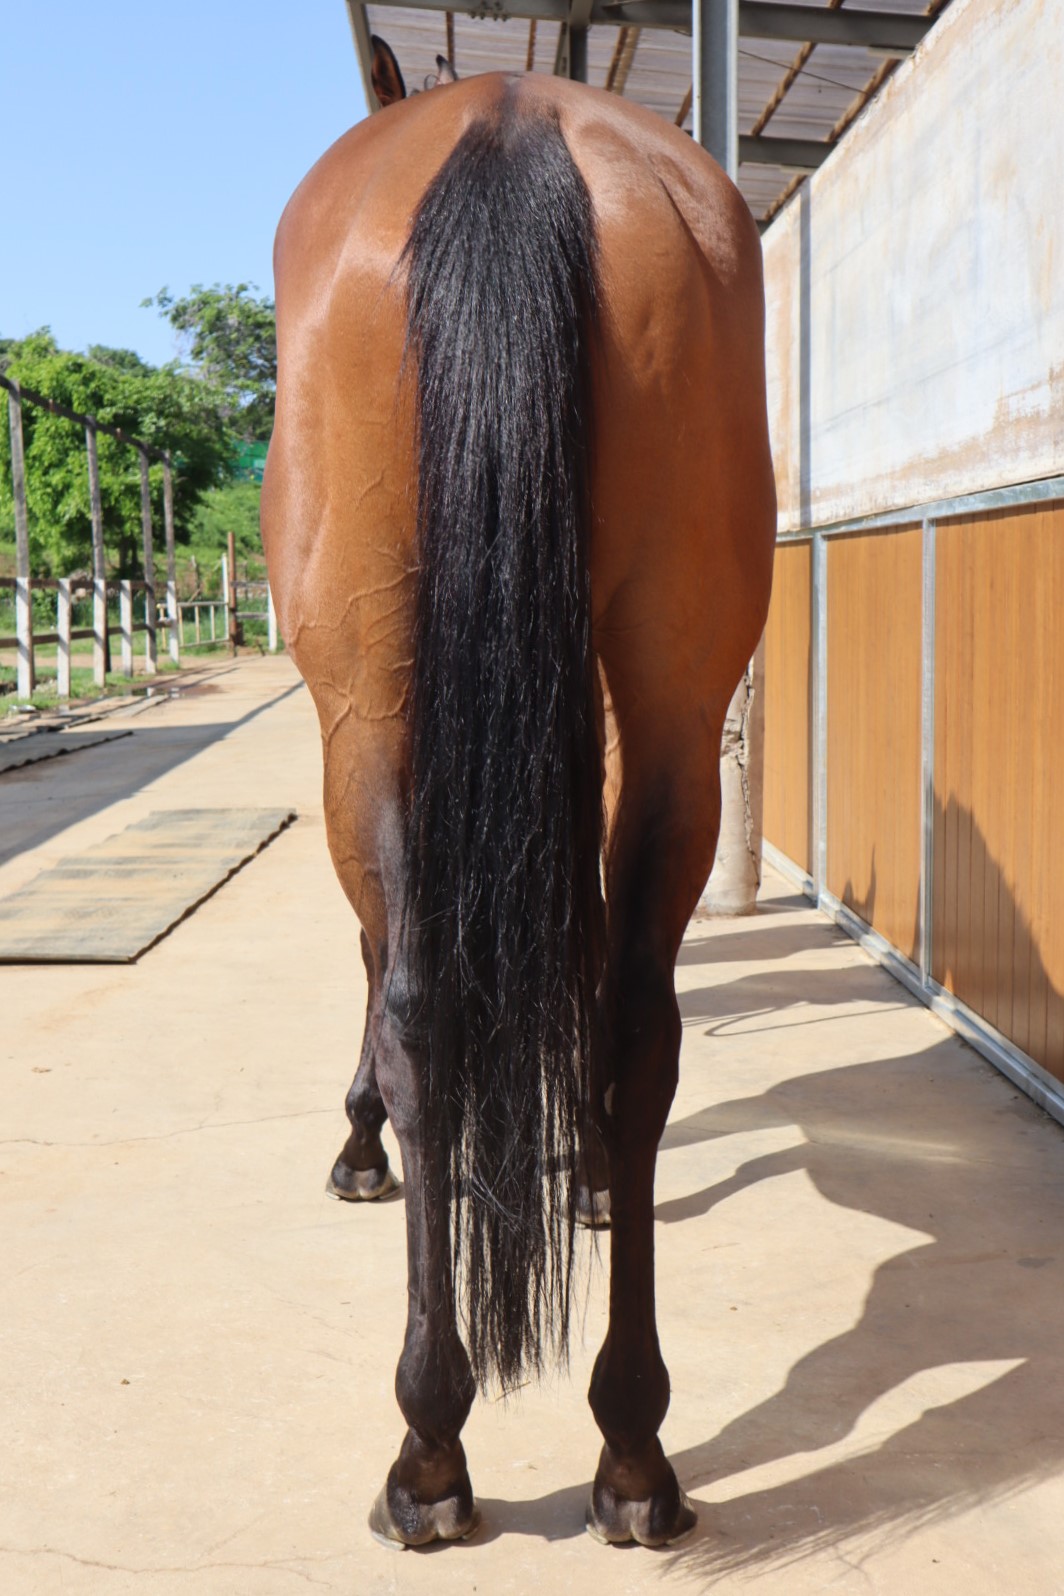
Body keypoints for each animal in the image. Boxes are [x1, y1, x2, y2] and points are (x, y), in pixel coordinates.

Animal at [261, 40, 776, 1550]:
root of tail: (511, 121)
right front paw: (586, 1172)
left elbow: (379, 962)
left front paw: (359, 1142)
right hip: (670, 691)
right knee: (636, 1021)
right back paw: (634, 1447)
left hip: (369, 695)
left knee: (422, 1004)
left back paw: (429, 1445)